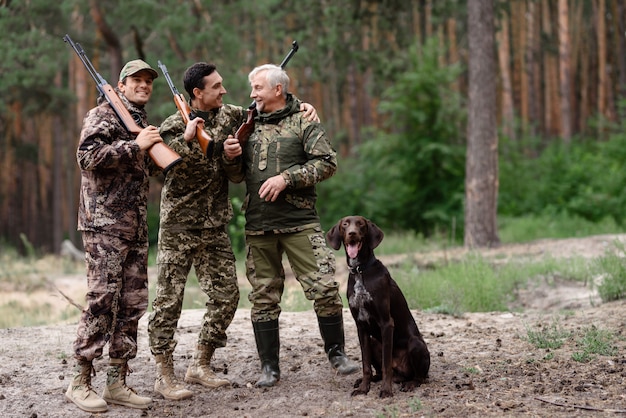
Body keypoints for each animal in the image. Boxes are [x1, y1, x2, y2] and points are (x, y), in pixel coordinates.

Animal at [324, 217, 426, 396]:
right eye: (345, 224)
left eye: (360, 224)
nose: (352, 233)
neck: (360, 271)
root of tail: (401, 373)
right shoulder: (361, 326)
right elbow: (366, 365)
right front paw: (364, 388)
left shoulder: (386, 323)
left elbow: (386, 365)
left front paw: (386, 390)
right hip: (373, 342)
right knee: (378, 371)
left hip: (416, 344)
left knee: (419, 377)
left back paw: (410, 383)